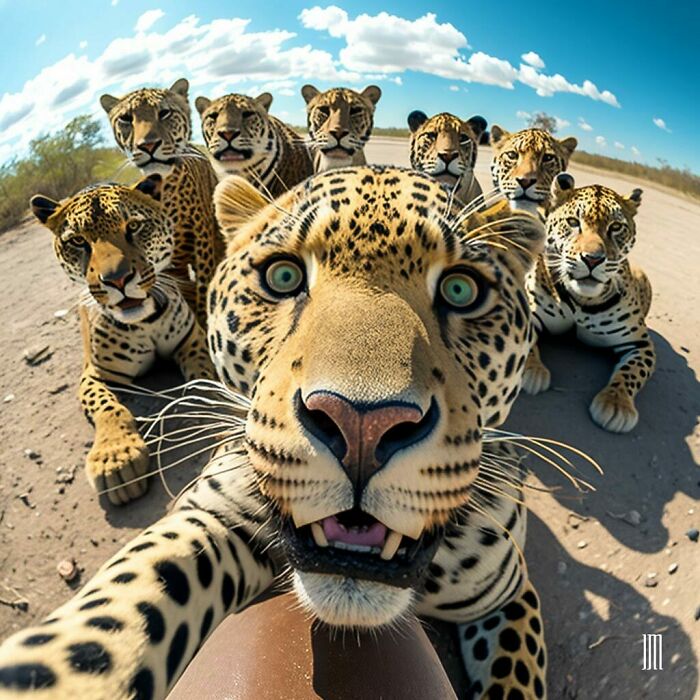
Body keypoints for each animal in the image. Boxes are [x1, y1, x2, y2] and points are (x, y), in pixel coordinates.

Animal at [28, 176, 215, 506]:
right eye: (78, 241)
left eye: (134, 226)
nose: (117, 280)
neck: (145, 322)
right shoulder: (96, 374)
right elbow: (108, 406)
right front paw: (115, 457)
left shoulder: (192, 343)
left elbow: (203, 376)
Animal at [522, 172, 655, 433]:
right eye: (573, 222)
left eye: (616, 227)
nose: (592, 259)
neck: (581, 302)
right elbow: (526, 342)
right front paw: (532, 372)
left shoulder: (639, 343)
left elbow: (632, 372)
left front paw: (616, 404)